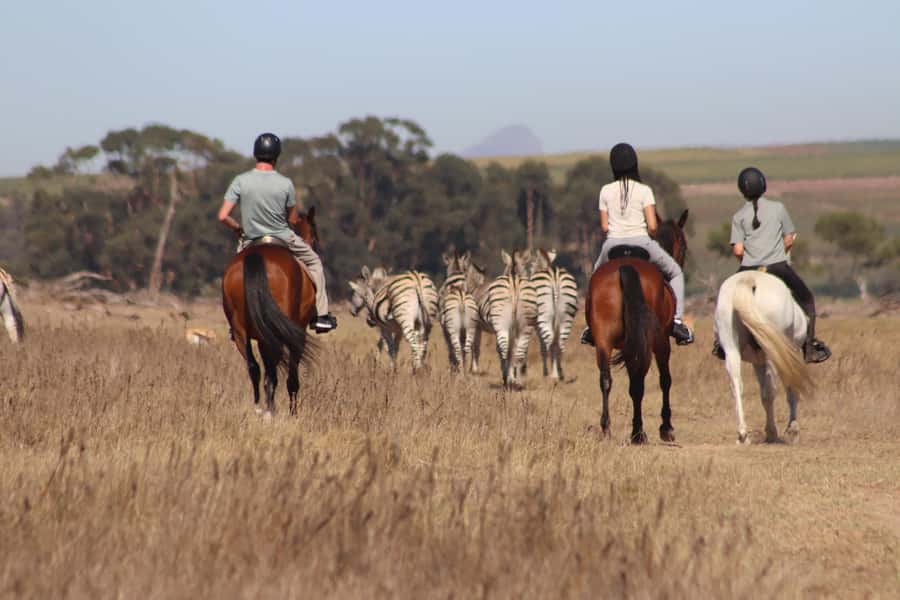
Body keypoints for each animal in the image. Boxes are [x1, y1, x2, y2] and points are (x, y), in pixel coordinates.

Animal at [221, 207, 320, 417]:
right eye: (315, 236)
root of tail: (257, 255)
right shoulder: (297, 334)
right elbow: (292, 377)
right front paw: (293, 413)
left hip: (242, 331)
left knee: (254, 368)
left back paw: (260, 407)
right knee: (274, 373)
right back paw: (271, 410)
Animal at [585, 210, 688, 443]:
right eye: (684, 246)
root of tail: (625, 266)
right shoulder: (662, 343)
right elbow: (665, 380)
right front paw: (666, 427)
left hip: (604, 339)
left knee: (606, 379)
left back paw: (606, 429)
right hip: (649, 341)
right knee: (638, 383)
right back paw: (638, 433)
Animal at [714, 271, 814, 444]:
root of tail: (749, 279)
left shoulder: (758, 362)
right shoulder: (790, 357)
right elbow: (791, 389)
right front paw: (793, 430)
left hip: (731, 349)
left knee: (737, 386)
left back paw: (743, 434)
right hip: (772, 354)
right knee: (770, 390)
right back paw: (772, 432)